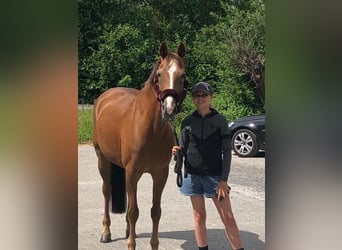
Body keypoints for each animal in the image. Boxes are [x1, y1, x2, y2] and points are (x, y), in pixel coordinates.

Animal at [92, 42, 187, 249]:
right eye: (159, 73)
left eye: (183, 75)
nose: (169, 109)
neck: (151, 129)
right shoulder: (132, 171)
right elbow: (134, 212)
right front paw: (131, 245)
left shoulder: (160, 174)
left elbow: (155, 211)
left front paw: (152, 244)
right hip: (103, 160)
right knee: (106, 191)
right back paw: (106, 232)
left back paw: (129, 232)